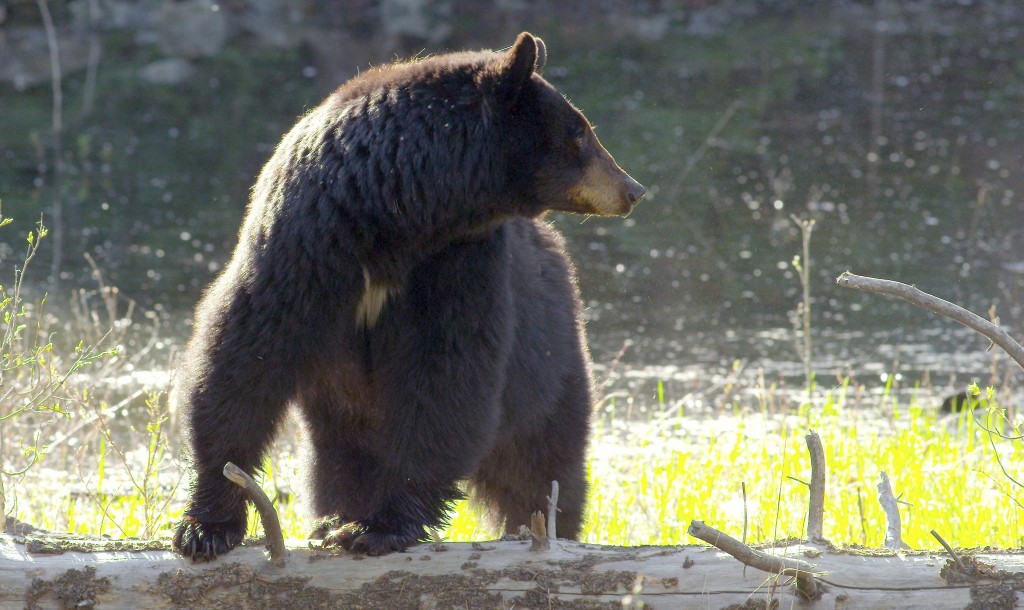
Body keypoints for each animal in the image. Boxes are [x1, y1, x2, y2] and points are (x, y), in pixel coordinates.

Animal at [172, 32, 643, 556]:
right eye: (579, 133)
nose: (632, 189)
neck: (397, 216)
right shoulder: (303, 248)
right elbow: (243, 359)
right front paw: (206, 526)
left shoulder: (460, 262)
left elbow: (445, 377)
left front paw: (380, 525)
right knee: (337, 464)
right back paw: (331, 517)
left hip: (548, 370)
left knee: (542, 469)